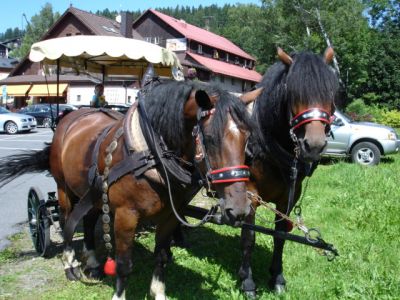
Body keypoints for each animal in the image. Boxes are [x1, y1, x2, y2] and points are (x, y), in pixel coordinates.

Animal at [0, 80, 255, 300]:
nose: (240, 210)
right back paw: (70, 264)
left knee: (89, 221)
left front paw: (158, 293)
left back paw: (92, 262)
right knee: (65, 220)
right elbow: (123, 264)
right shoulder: (125, 215)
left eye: (247, 138)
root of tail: (68, 118)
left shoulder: (170, 215)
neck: (152, 153)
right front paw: (118, 294)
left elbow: (161, 256)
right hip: (63, 188)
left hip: (93, 193)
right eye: (210, 138)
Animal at [239, 47, 340, 296]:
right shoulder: (249, 193)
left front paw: (277, 277)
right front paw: (248, 282)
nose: (314, 145)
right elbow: (249, 235)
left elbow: (281, 235)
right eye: (293, 93)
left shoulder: (289, 197)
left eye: (331, 92)